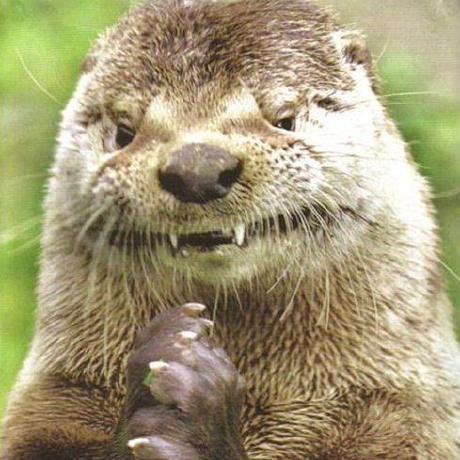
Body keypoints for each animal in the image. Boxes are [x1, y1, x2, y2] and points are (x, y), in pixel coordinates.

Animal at [2, 0, 460, 459]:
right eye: (124, 132)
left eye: (284, 118)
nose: (197, 167)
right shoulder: (53, 401)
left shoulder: (404, 419)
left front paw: (197, 402)